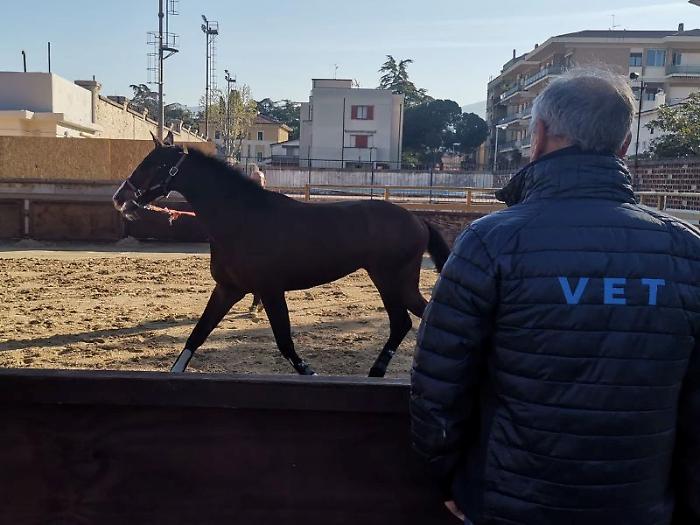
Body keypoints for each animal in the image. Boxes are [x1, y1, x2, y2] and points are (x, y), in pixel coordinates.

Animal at [112, 131, 450, 377]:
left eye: (155, 164)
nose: (120, 197)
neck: (243, 220)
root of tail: (418, 220)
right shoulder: (227, 289)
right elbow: (197, 334)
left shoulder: (271, 290)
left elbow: (285, 342)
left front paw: (310, 373)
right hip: (393, 283)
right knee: (407, 321)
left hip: (393, 281)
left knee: (410, 321)